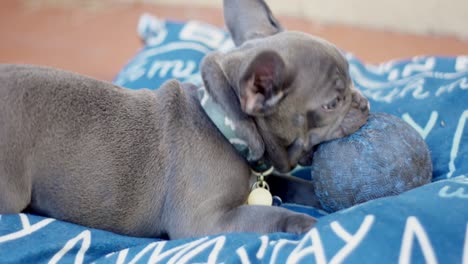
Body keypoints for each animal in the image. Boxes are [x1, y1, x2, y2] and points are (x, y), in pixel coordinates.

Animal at [0, 0, 368, 239]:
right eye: (333, 103)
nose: (364, 103)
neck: (223, 123)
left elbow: (293, 184)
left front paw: (326, 198)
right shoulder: (205, 223)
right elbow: (267, 213)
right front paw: (303, 224)